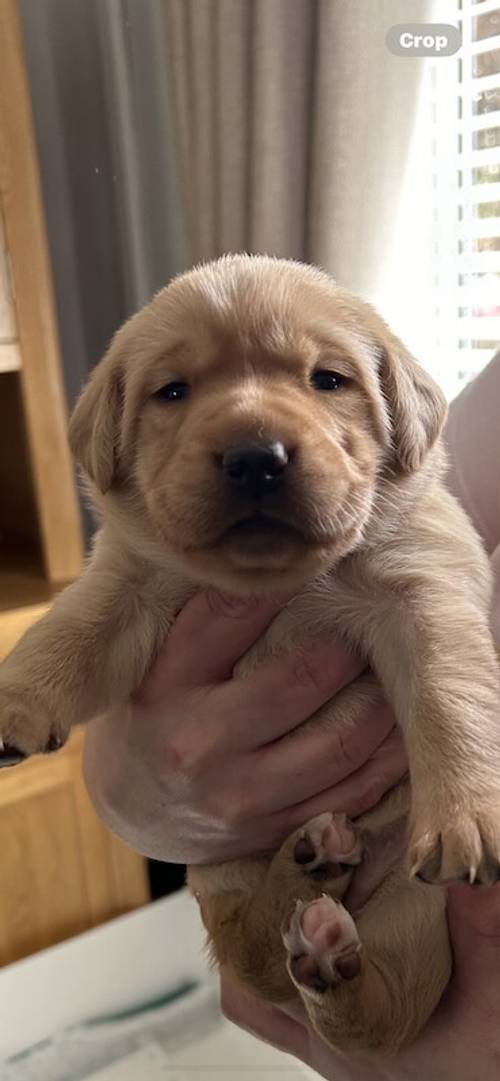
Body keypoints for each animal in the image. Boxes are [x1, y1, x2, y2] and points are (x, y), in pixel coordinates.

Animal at [0, 255, 500, 1055]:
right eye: (173, 391)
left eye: (328, 379)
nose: (255, 458)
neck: (281, 583)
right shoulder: (129, 582)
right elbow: (68, 629)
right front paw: (15, 700)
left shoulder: (424, 590)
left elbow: (451, 700)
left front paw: (465, 816)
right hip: (222, 871)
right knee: (260, 954)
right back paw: (313, 879)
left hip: (411, 919)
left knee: (371, 1015)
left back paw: (328, 940)